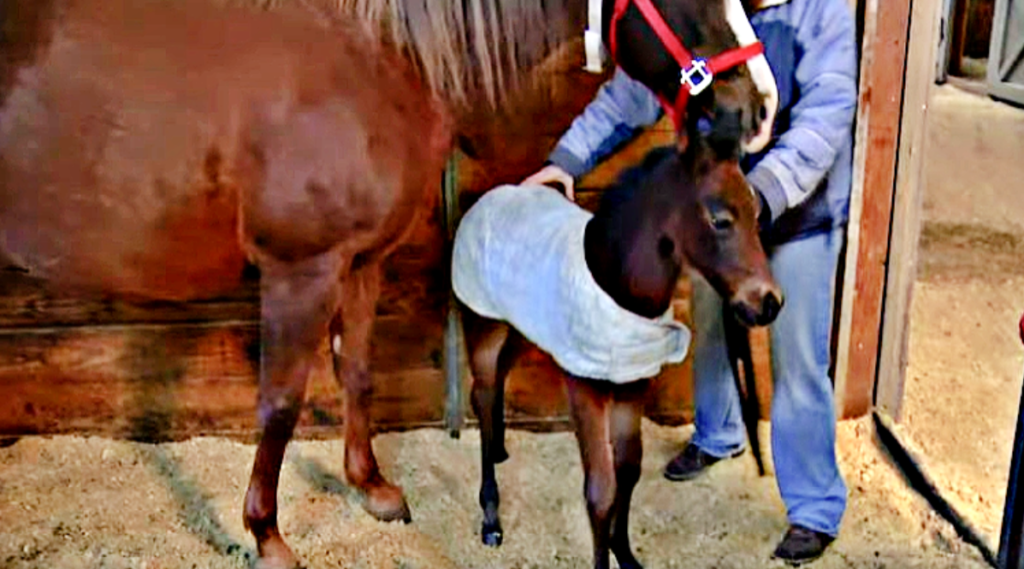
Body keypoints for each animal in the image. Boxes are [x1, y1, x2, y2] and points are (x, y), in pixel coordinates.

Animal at [0, 0, 777, 566]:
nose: (757, 107)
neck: (375, 60)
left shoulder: (360, 262)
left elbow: (358, 373)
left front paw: (372, 488)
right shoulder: (300, 269)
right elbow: (280, 402)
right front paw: (268, 536)